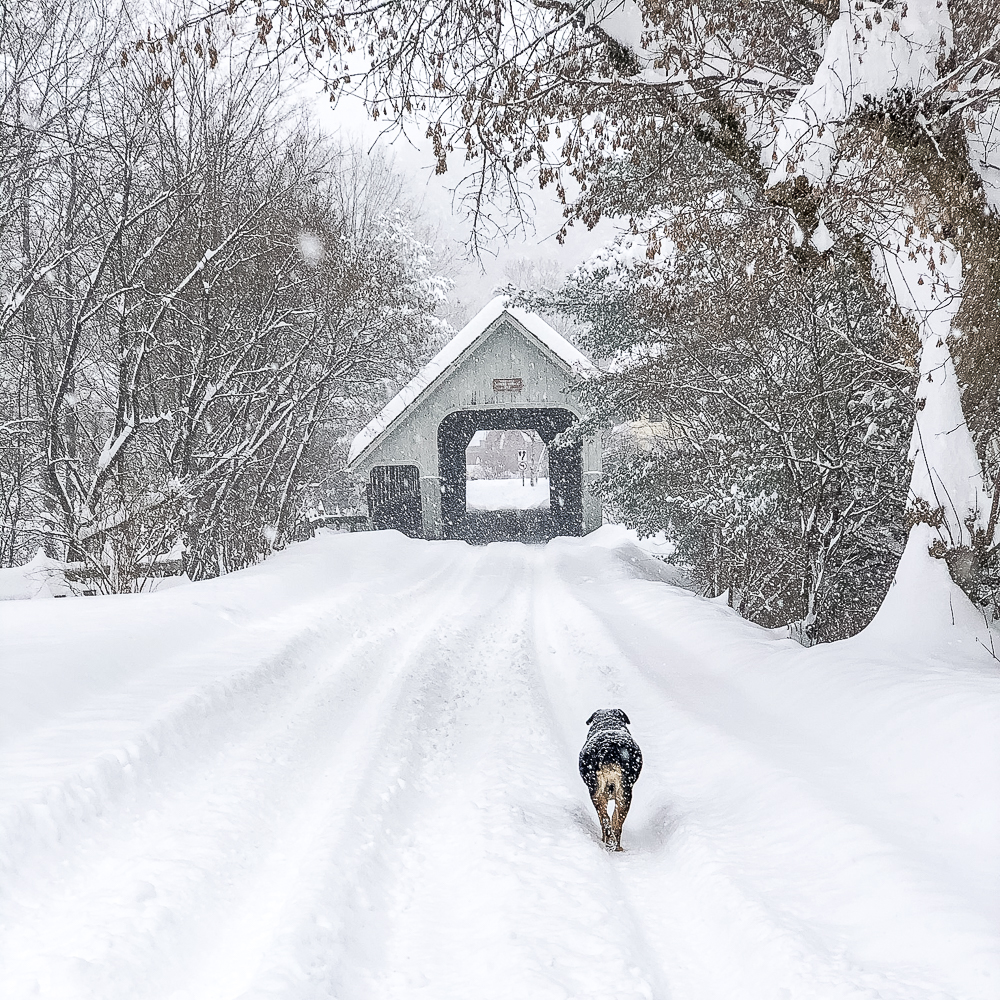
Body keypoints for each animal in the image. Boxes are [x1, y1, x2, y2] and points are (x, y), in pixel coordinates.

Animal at [580, 712, 640, 852]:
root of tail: (609, 751)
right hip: (621, 793)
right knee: (613, 821)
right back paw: (613, 844)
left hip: (602, 792)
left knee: (607, 820)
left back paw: (611, 843)